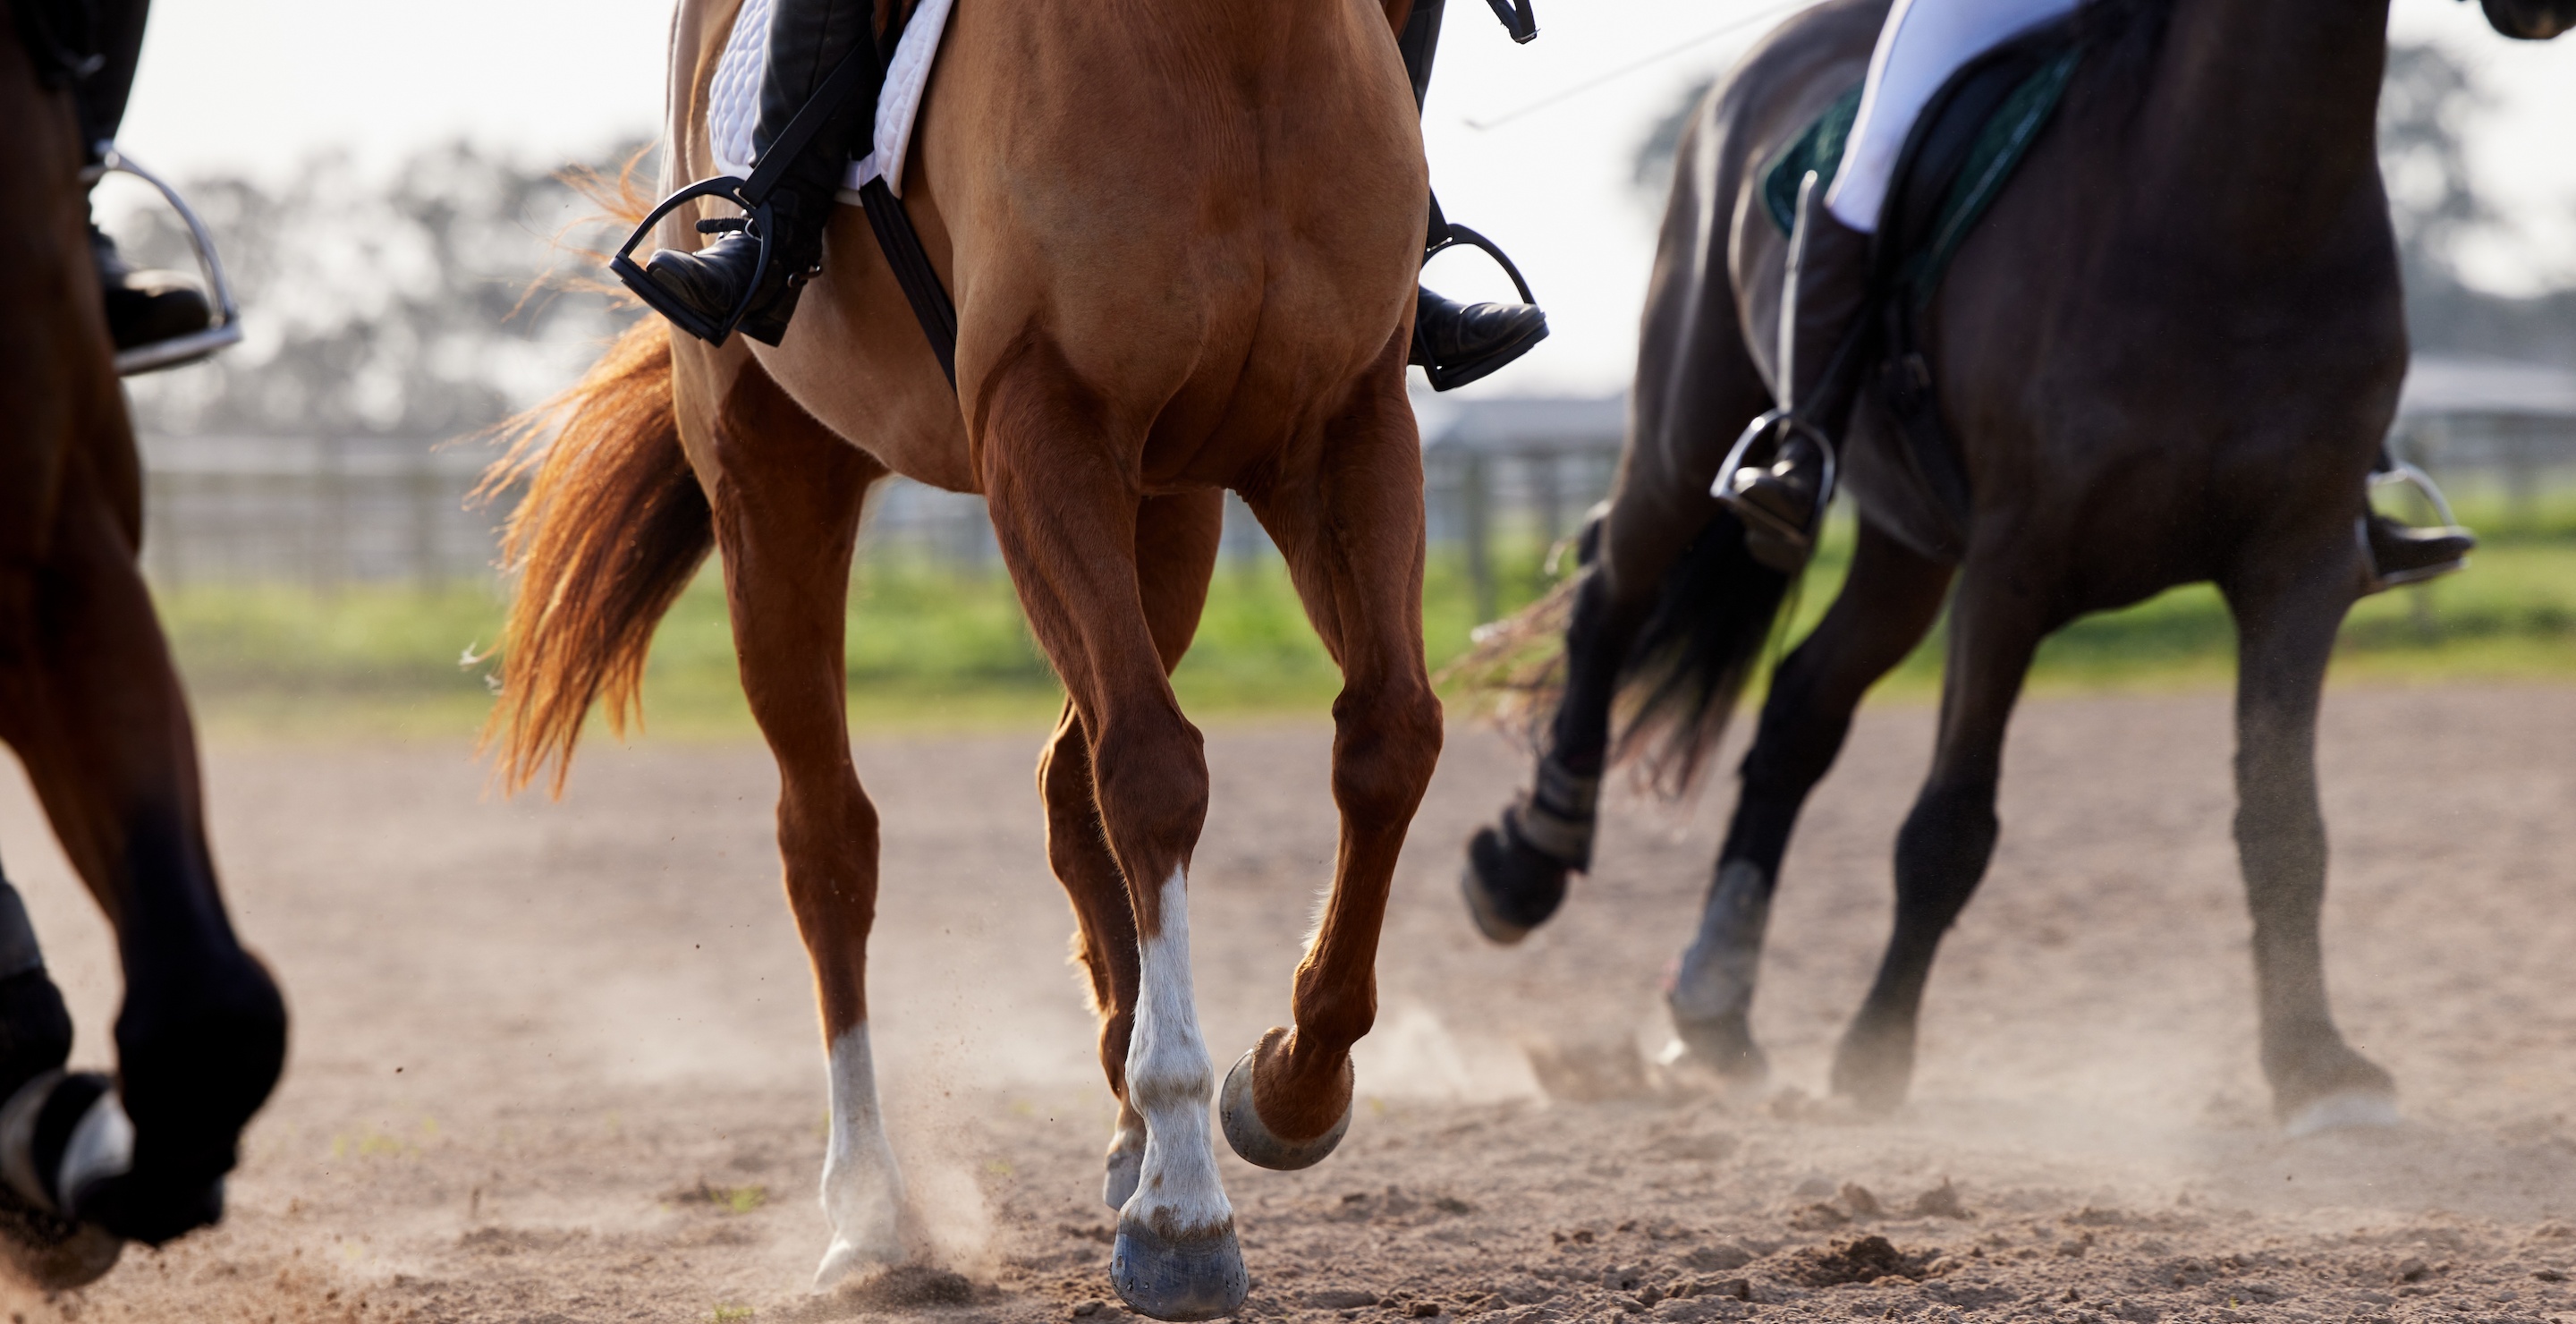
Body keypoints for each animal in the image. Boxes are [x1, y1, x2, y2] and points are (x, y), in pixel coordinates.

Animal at [481, 0, 1441, 1314]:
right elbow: (1156, 774)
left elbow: (1389, 736)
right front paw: (1185, 1209)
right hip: (775, 480)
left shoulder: (1347, 429)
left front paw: (1292, 1086)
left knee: (1066, 782)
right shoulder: (1045, 426)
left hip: (1169, 513)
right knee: (830, 838)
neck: (1232, 45)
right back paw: (874, 1215)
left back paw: (1124, 1112)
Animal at [1460, 0, 2575, 1135]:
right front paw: (1874, 1055)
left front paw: (2315, 1065)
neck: (2233, 207)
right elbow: (1950, 828)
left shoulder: (2297, 568)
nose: (2536, 19)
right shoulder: (2013, 570)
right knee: (1612, 594)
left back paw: (1716, 1005)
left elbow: (2283, 820)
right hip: (1689, 423)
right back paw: (1527, 865)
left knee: (1800, 706)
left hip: (1908, 548)